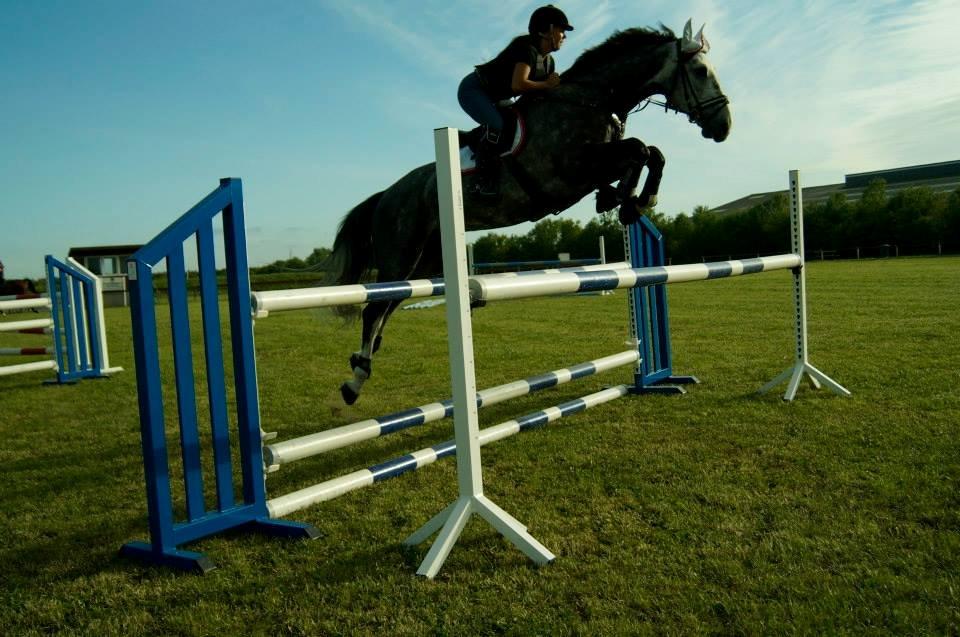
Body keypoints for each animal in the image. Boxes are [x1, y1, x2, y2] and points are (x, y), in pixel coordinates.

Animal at [326, 23, 732, 408]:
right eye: (699, 71)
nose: (724, 126)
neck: (589, 101)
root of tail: (387, 194)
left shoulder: (593, 165)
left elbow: (650, 153)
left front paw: (627, 199)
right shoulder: (569, 172)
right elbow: (640, 149)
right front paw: (631, 202)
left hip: (424, 262)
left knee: (386, 308)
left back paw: (360, 366)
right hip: (401, 254)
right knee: (373, 308)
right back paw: (353, 383)